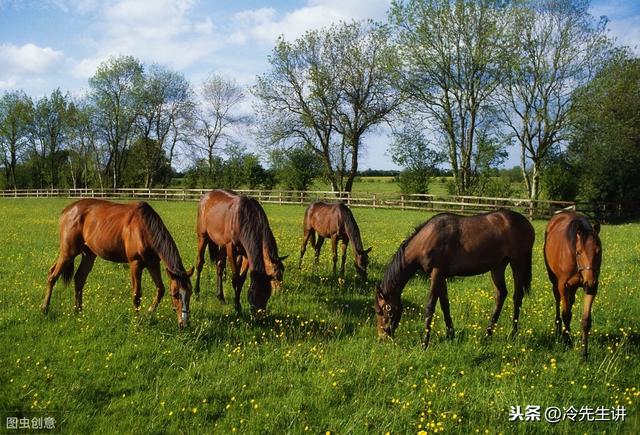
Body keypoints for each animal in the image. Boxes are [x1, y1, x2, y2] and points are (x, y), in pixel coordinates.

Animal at [41, 199, 194, 328]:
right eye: (175, 294)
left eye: (190, 293)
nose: (184, 324)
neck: (145, 228)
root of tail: (67, 210)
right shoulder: (135, 263)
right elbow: (137, 294)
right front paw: (136, 321)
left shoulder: (153, 263)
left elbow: (160, 290)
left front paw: (148, 313)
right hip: (68, 252)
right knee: (52, 276)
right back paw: (44, 309)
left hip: (88, 254)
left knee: (78, 279)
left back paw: (78, 311)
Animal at [376, 209, 536, 350]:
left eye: (384, 310)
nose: (382, 337)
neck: (427, 239)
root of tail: (526, 223)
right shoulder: (441, 276)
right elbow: (444, 305)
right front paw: (450, 335)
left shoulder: (437, 274)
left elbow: (430, 307)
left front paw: (425, 343)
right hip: (498, 266)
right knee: (501, 295)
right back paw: (487, 335)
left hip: (518, 262)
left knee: (517, 296)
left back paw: (513, 333)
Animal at [544, 212, 600, 362]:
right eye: (579, 252)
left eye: (598, 251)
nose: (590, 284)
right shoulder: (563, 285)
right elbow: (566, 314)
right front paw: (567, 342)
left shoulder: (591, 287)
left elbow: (586, 320)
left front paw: (584, 353)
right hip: (555, 282)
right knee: (558, 301)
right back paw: (559, 329)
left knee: (570, 302)